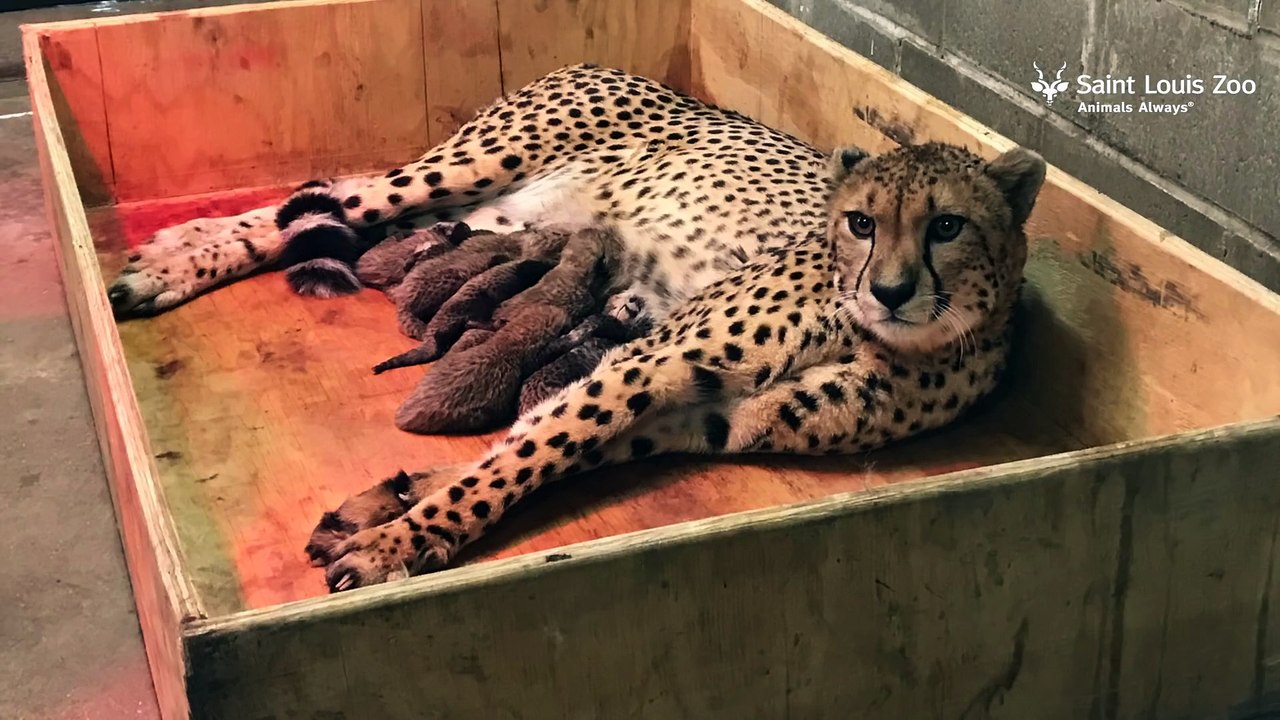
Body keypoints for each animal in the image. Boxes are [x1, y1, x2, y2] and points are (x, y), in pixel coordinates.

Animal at [103, 64, 1046, 591]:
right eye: (859, 223)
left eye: (948, 226)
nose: (890, 289)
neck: (893, 338)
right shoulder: (648, 362)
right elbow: (525, 455)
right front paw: (406, 540)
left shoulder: (709, 416)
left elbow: (536, 447)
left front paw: (389, 508)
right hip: (468, 168)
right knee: (317, 204)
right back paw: (164, 264)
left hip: (493, 216)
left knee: (330, 215)